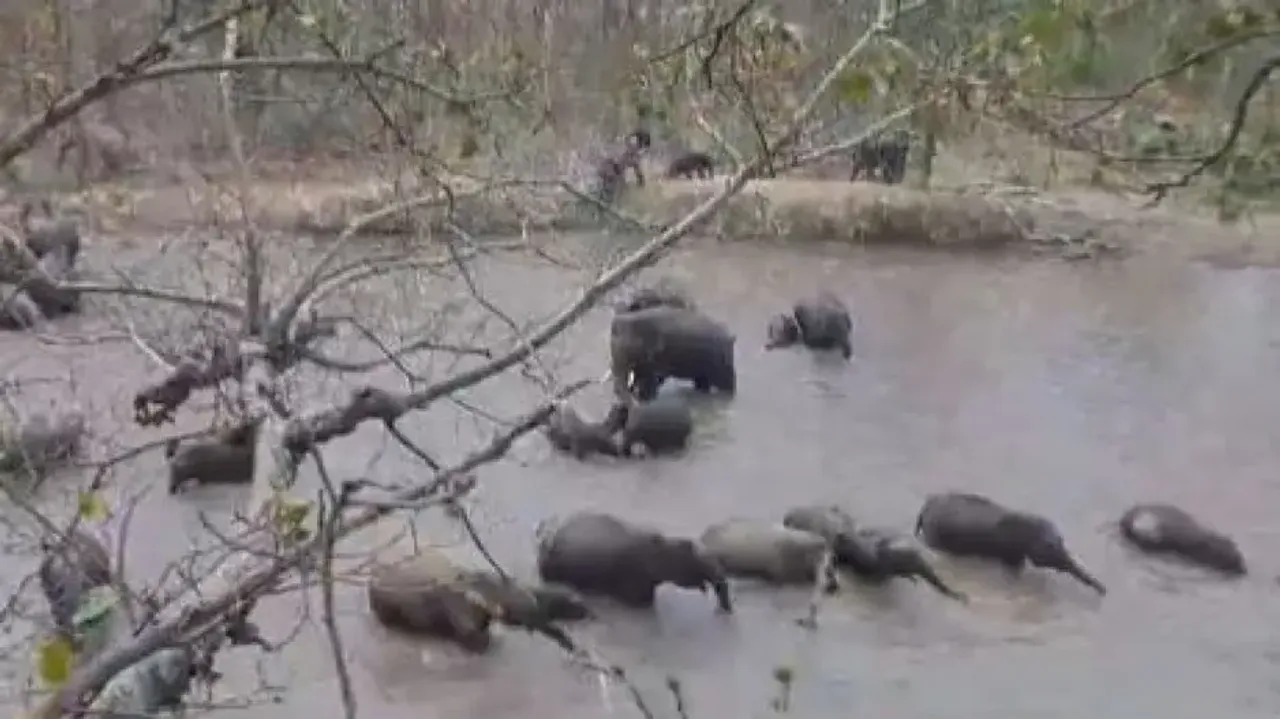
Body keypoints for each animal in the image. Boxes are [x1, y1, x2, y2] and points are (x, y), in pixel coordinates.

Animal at [915, 492, 1106, 595]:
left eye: (1062, 541)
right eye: (1051, 551)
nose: (1104, 590)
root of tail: (924, 509)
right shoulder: (1010, 549)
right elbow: (1015, 567)